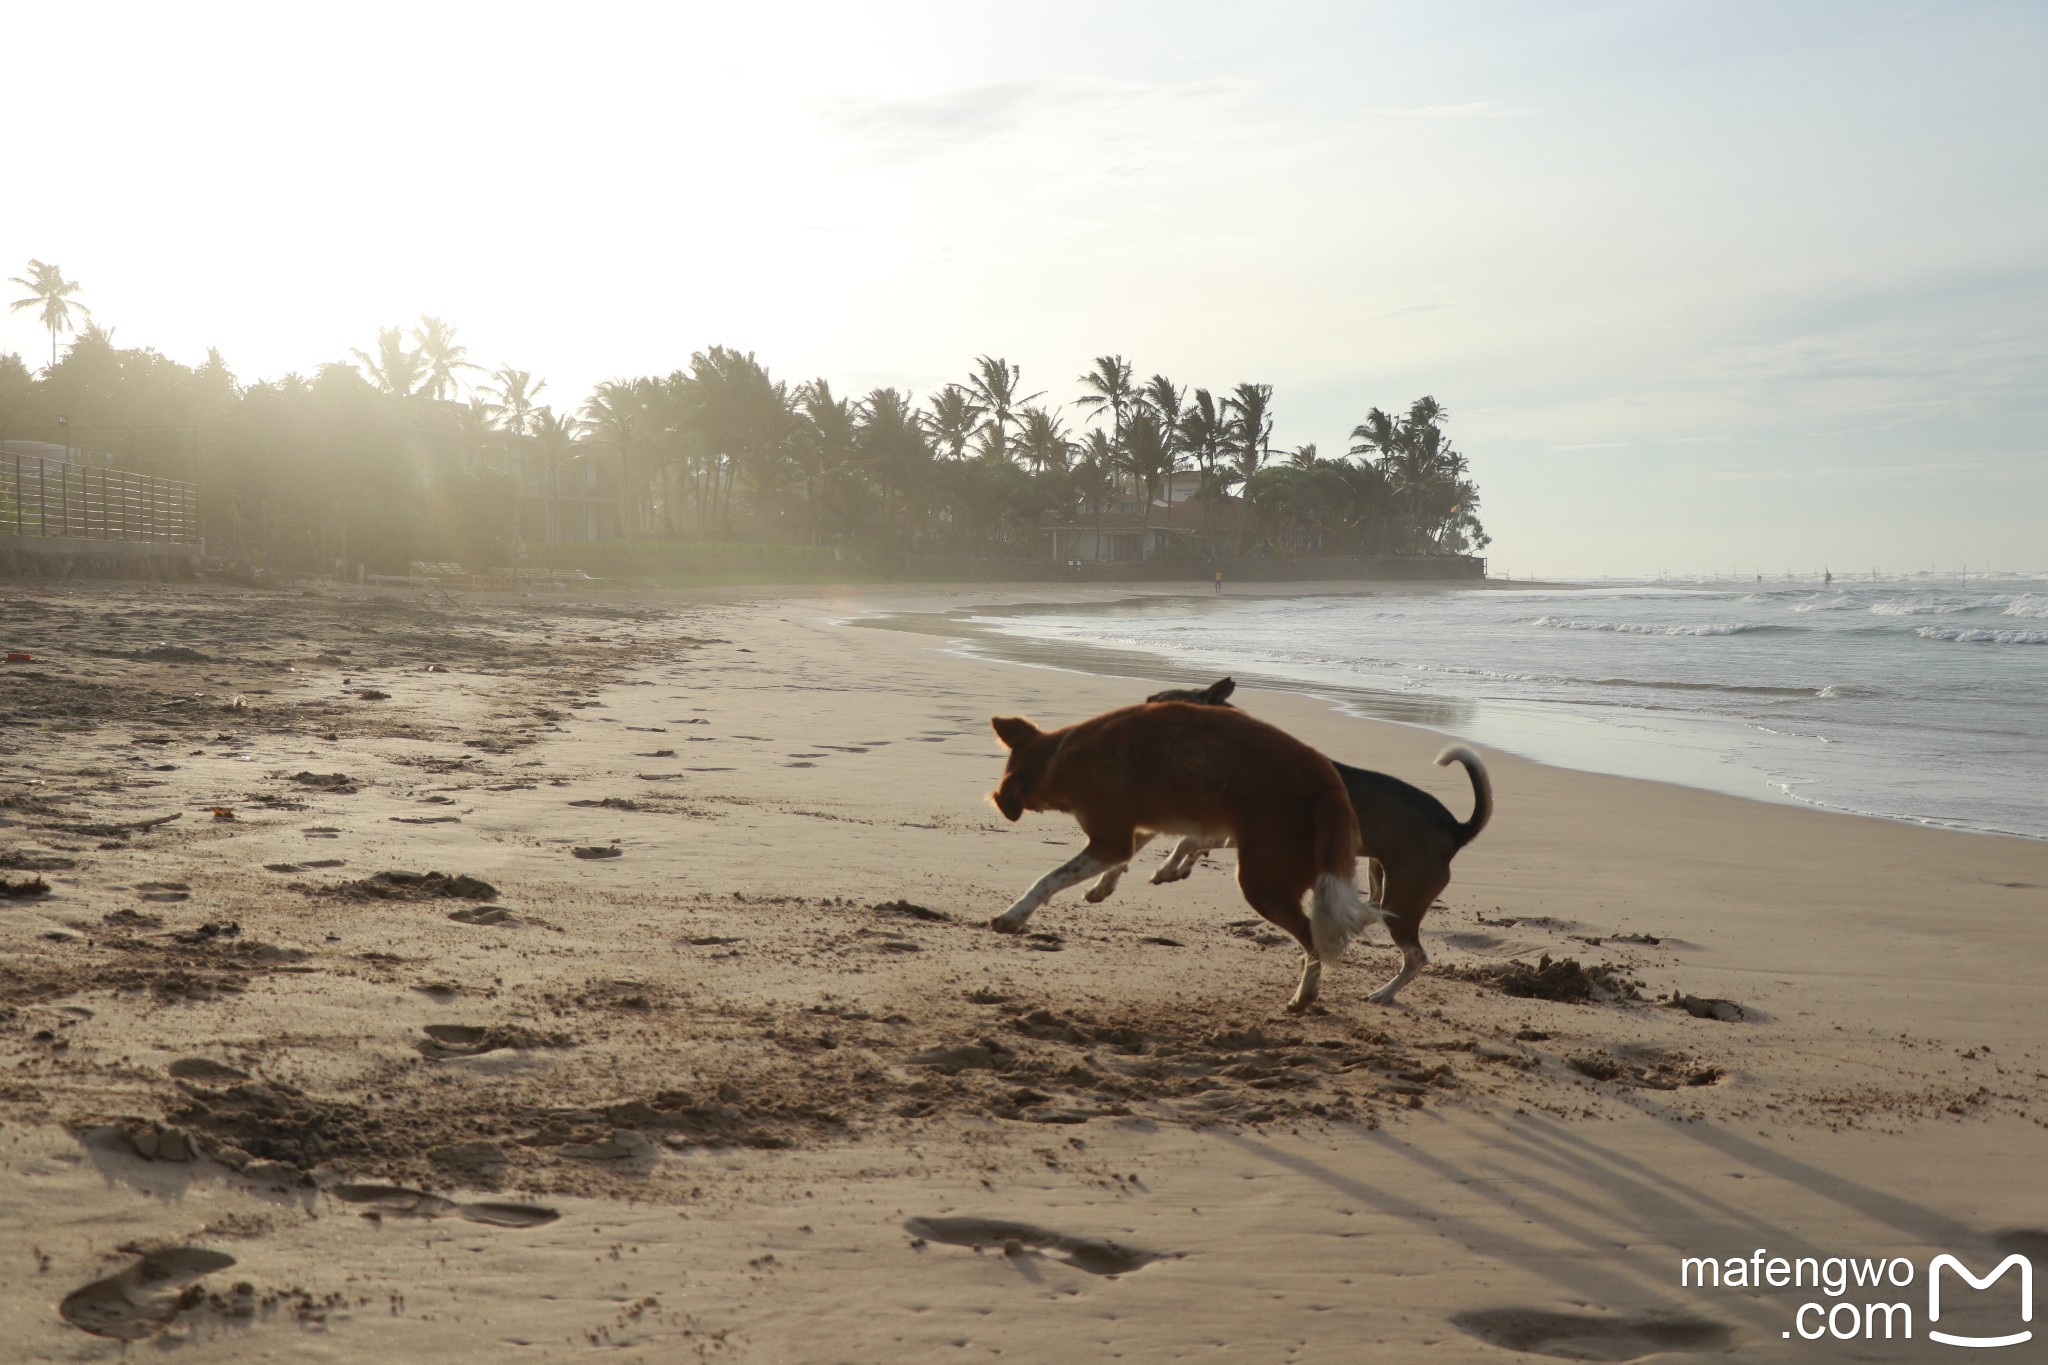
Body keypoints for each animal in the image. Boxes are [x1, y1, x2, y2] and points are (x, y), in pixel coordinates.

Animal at [991, 703, 1376, 1015]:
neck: (1059, 755)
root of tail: (1329, 785)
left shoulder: (1110, 839)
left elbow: (1049, 879)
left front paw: (1014, 914)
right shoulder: (1135, 826)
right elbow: (1131, 853)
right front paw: (1105, 884)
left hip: (1262, 882)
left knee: (1312, 939)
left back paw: (1304, 995)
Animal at [1097, 675, 1499, 1002]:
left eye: (1159, 703)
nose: (1127, 718)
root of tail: (1456, 829)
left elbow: (1188, 842)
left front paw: (1170, 867)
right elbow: (1187, 844)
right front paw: (1172, 869)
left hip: (1404, 898)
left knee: (1416, 955)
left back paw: (1383, 992)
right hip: (1382, 875)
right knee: (1381, 915)